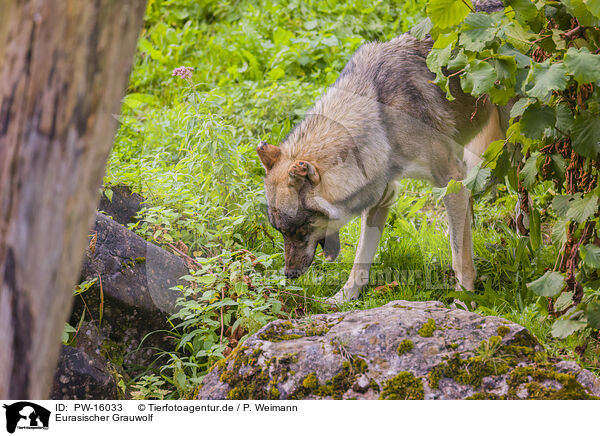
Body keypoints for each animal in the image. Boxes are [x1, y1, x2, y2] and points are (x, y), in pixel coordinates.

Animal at [255, 34, 508, 304]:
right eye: (280, 231)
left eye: (301, 230)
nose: (289, 274)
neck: (381, 117)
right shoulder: (381, 194)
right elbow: (361, 258)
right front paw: (343, 297)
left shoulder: (451, 179)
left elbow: (460, 256)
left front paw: (464, 299)